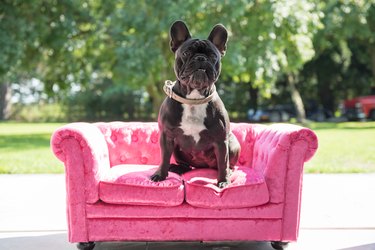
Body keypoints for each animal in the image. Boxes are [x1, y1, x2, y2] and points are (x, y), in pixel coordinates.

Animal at [151, 20, 241, 188]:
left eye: (212, 55)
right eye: (186, 53)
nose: (201, 58)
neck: (194, 98)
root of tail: (202, 166)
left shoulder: (221, 140)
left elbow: (223, 162)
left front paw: (223, 180)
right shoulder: (166, 136)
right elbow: (164, 157)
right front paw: (160, 174)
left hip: (232, 143)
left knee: (227, 164)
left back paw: (230, 172)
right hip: (177, 150)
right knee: (184, 164)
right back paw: (177, 168)